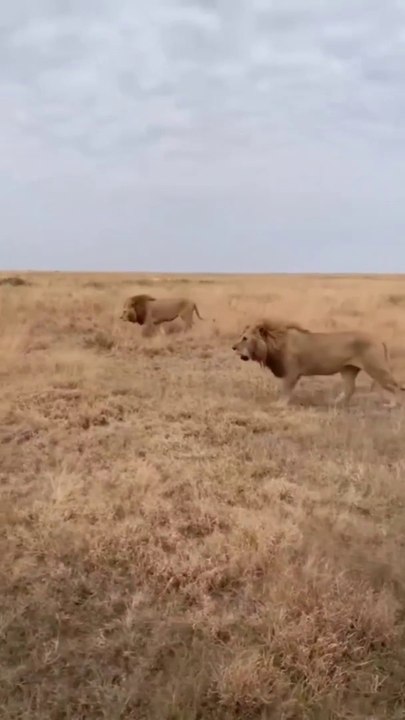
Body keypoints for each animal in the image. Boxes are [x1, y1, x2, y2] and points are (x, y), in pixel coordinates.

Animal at [232, 318, 405, 407]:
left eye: (245, 338)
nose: (233, 347)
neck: (274, 343)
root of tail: (379, 339)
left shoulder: (291, 373)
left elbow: (285, 390)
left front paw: (280, 404)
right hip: (348, 369)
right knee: (350, 389)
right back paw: (335, 402)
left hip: (376, 368)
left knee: (395, 386)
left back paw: (392, 405)